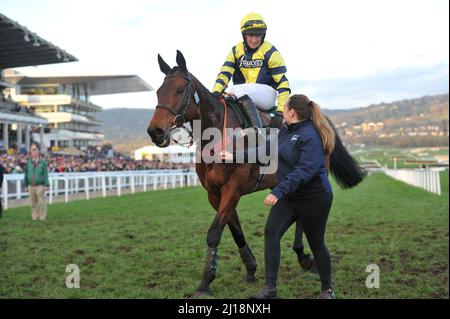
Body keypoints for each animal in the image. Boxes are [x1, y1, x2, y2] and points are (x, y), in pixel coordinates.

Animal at [148, 50, 366, 298]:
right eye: (158, 91)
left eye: (179, 90)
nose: (155, 131)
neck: (218, 133)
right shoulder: (215, 193)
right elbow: (235, 230)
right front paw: (251, 267)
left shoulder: (233, 188)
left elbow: (214, 232)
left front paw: (205, 281)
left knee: (305, 214)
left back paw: (305, 257)